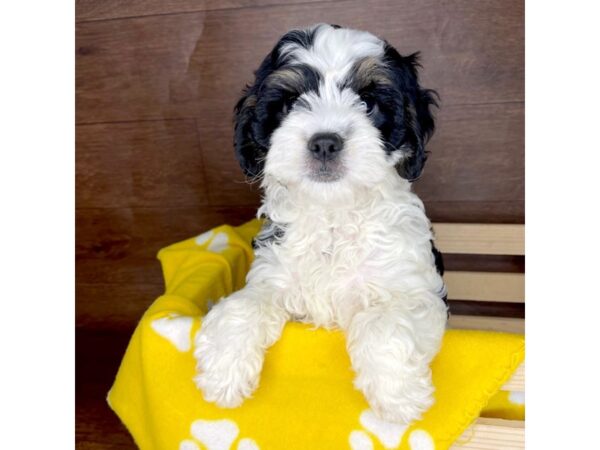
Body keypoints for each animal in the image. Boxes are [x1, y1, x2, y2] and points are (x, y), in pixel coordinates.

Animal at [192, 23, 446, 426]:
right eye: (290, 102)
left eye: (368, 102)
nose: (325, 143)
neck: (333, 215)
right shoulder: (273, 275)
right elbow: (242, 305)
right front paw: (222, 372)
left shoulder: (417, 291)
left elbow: (382, 322)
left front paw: (398, 398)